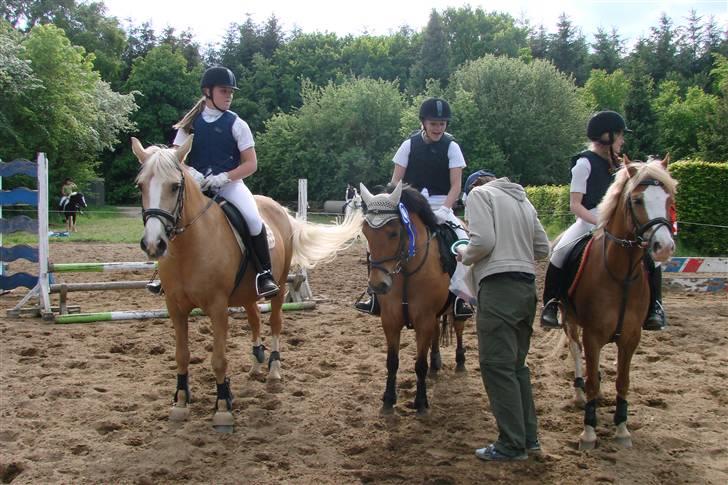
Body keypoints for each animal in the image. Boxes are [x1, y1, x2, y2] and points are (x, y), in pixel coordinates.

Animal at [132, 136, 362, 432]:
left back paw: (273, 369)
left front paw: (222, 408)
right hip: (246, 294)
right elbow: (181, 355)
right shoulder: (175, 307)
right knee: (254, 320)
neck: (188, 247)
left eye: (174, 186)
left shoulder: (217, 307)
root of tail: (279, 208)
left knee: (275, 323)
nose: (153, 244)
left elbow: (219, 359)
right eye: (140, 185)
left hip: (278, 288)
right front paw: (180, 403)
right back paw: (256, 363)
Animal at [358, 180, 466, 414]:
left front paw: (421, 402)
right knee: (437, 332)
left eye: (393, 233)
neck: (406, 272)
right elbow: (392, 361)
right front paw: (388, 399)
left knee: (458, 328)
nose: (378, 285)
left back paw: (460, 360)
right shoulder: (390, 320)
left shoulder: (423, 320)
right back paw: (436, 362)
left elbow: (419, 364)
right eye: (365, 232)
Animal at [564, 157, 676, 448]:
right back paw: (579, 394)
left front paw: (622, 428)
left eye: (669, 199)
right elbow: (591, 378)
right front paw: (589, 432)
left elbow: (623, 381)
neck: (621, 274)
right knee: (575, 350)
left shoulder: (630, 337)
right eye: (637, 200)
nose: (664, 247)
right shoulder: (593, 334)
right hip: (569, 320)